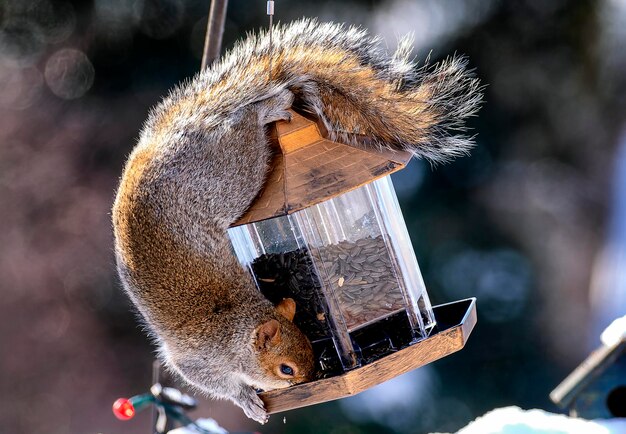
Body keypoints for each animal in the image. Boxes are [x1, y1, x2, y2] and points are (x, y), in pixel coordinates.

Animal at [111, 19, 482, 424]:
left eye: (309, 344)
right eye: (286, 369)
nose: (310, 379)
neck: (237, 324)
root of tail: (180, 130)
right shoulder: (201, 363)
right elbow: (219, 384)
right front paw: (247, 399)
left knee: (246, 120)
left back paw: (270, 106)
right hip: (232, 172)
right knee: (245, 126)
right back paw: (268, 107)